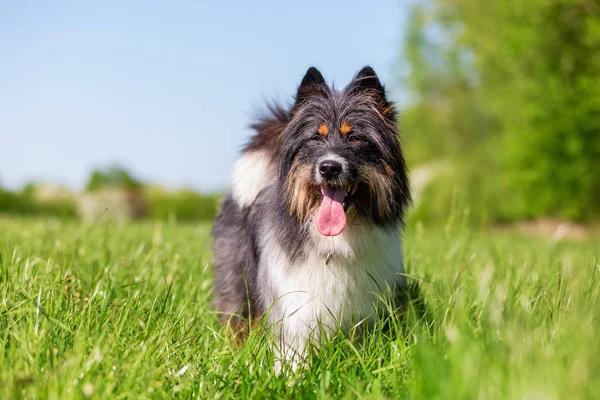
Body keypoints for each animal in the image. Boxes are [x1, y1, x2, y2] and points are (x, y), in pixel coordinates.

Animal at [212, 66, 412, 368]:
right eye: (316, 138)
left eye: (354, 138)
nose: (329, 167)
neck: (338, 238)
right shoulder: (295, 299)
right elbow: (294, 344)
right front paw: (292, 373)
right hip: (238, 275)